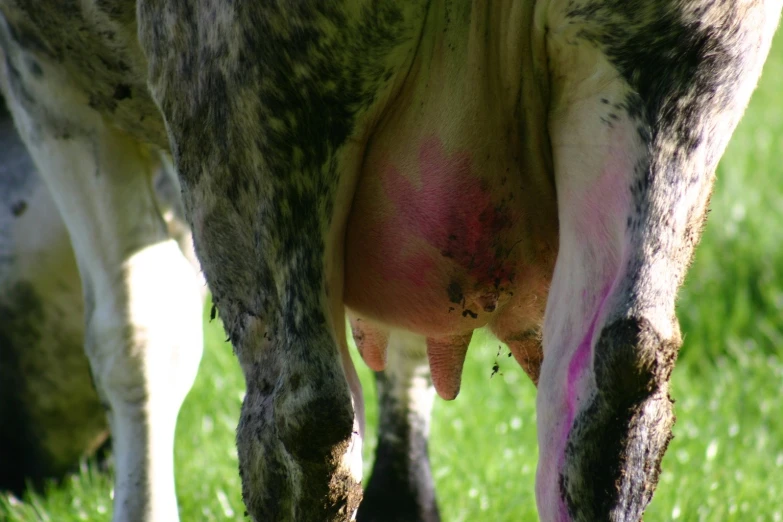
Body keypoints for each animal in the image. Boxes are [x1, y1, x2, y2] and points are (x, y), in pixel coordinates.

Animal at [0, 1, 780, 520]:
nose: (30, 474)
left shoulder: (48, 85)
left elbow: (135, 337)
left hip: (248, 101)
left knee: (304, 418)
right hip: (673, 85)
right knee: (614, 388)